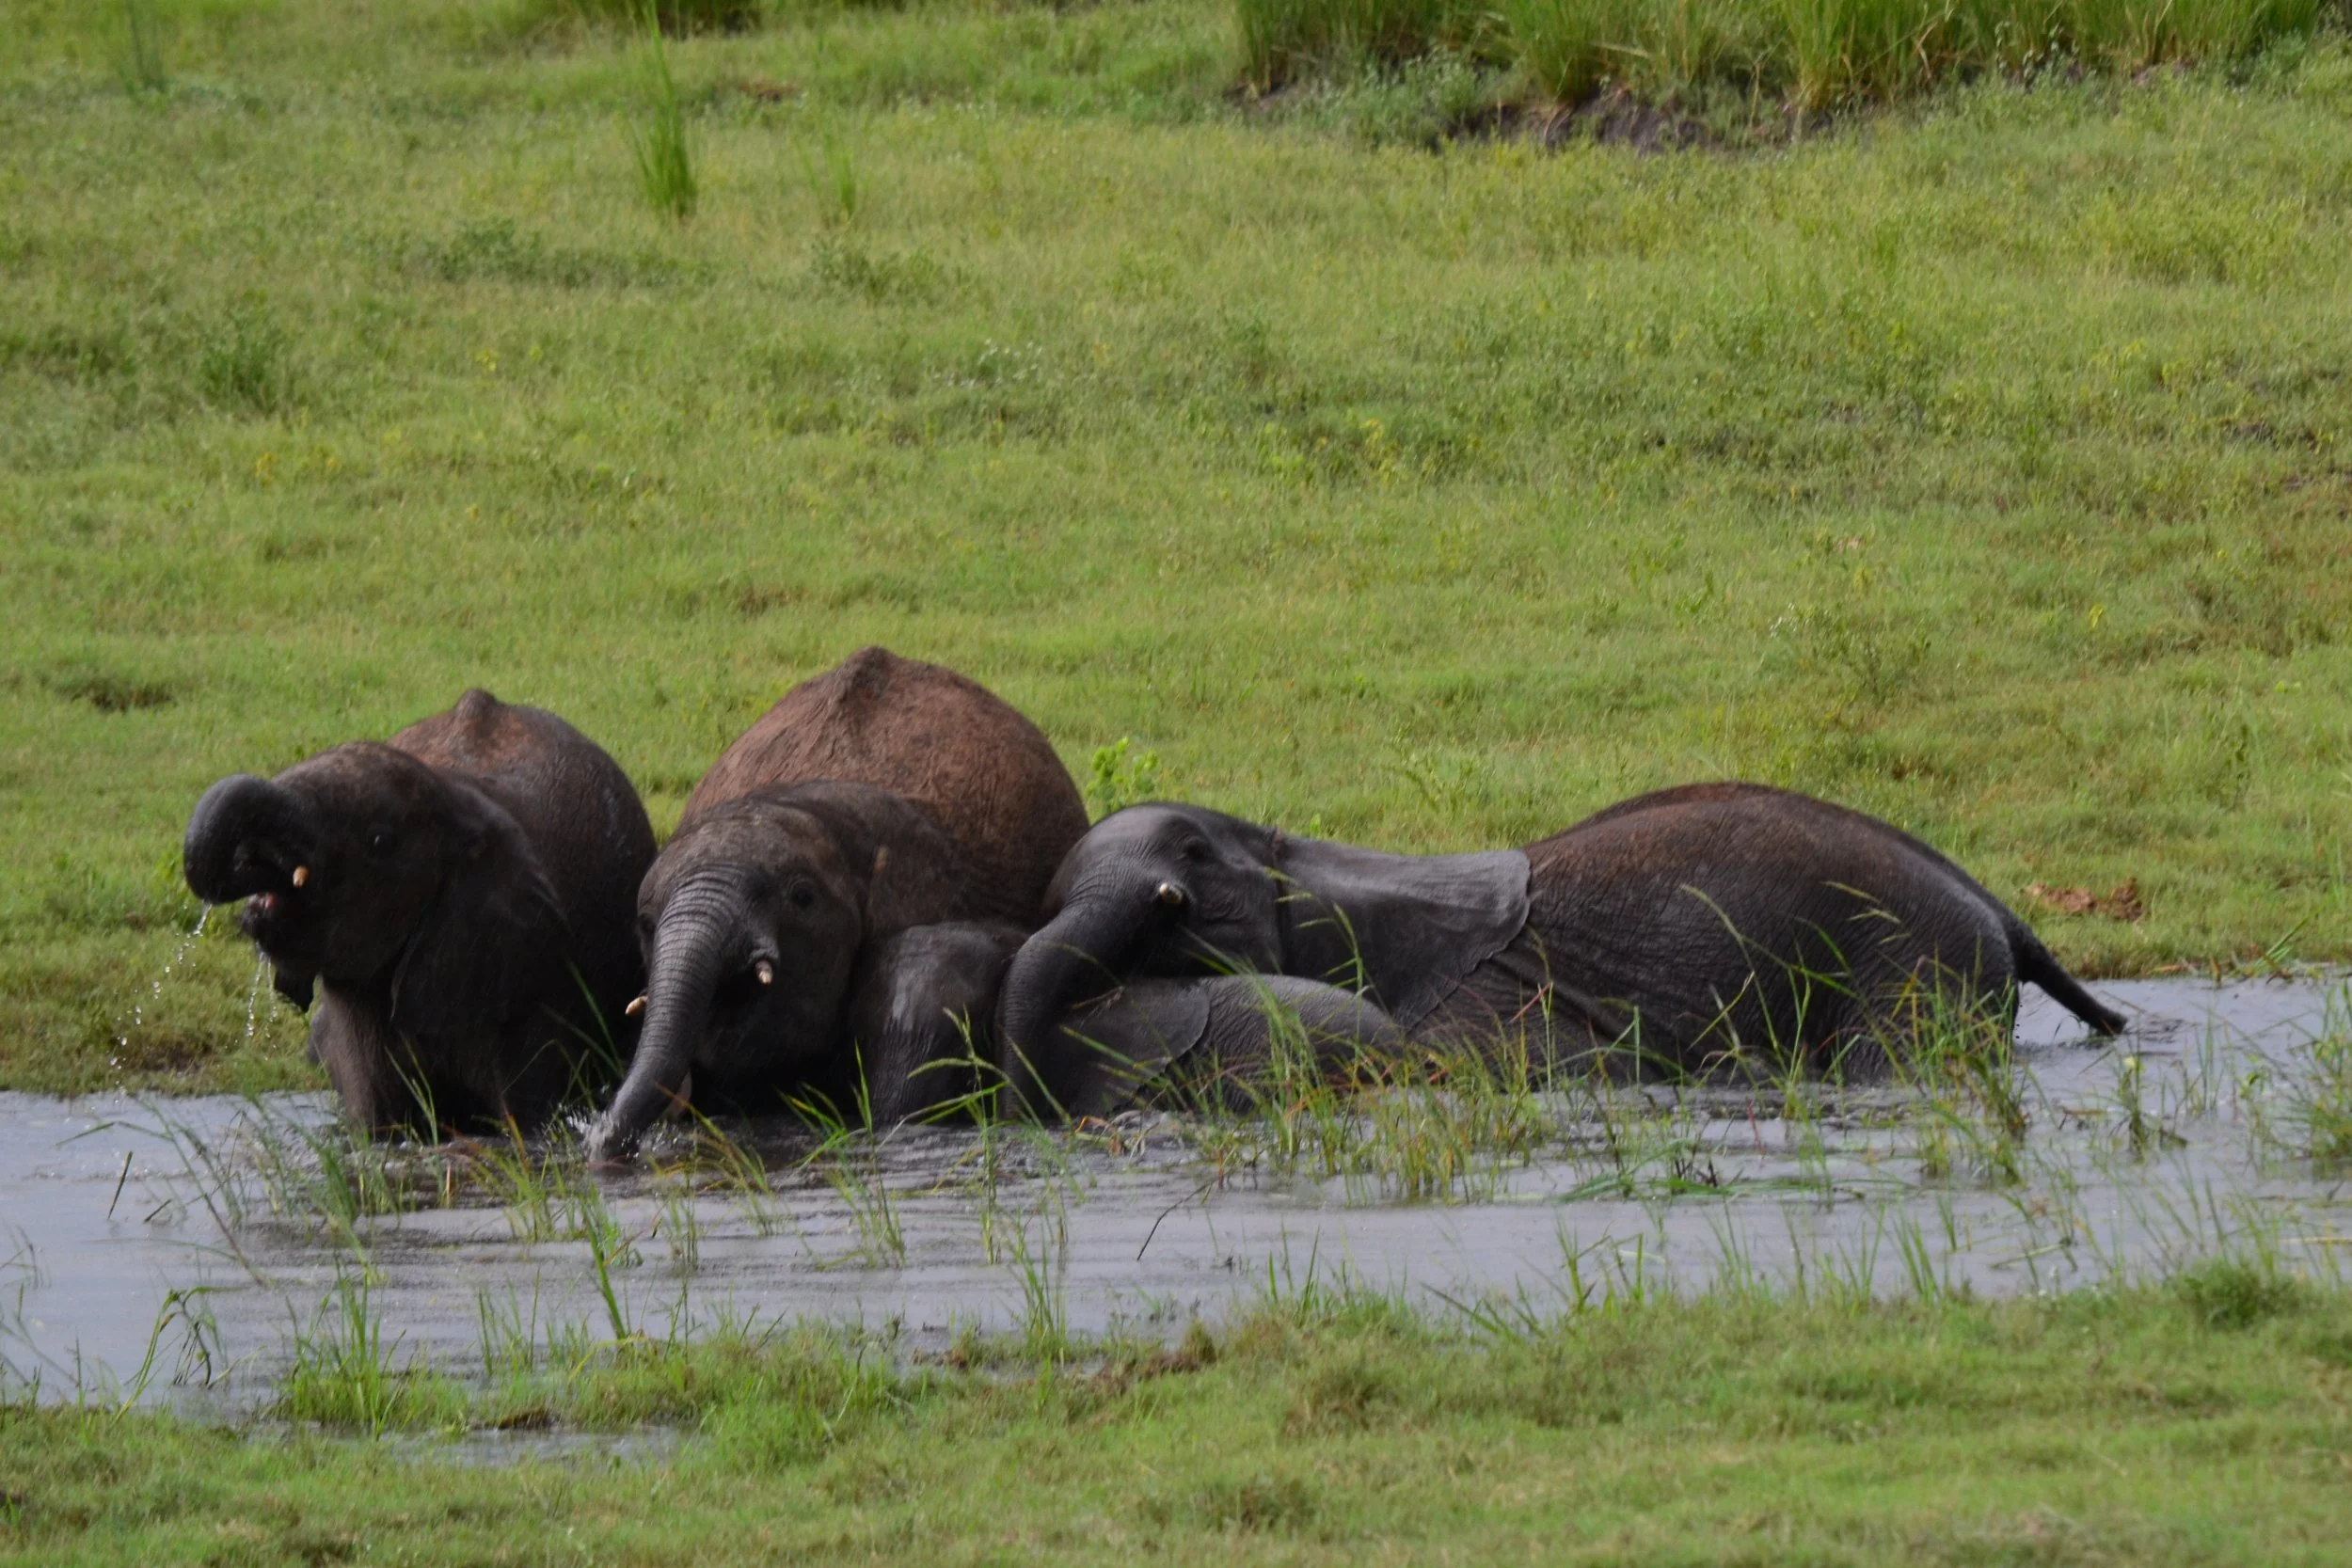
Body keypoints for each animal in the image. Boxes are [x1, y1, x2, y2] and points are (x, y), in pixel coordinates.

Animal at [182, 690, 657, 1133]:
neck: (456, 794)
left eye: (378, 841)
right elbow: (382, 1123)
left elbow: (525, 1120)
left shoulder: (536, 976)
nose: (254, 857)